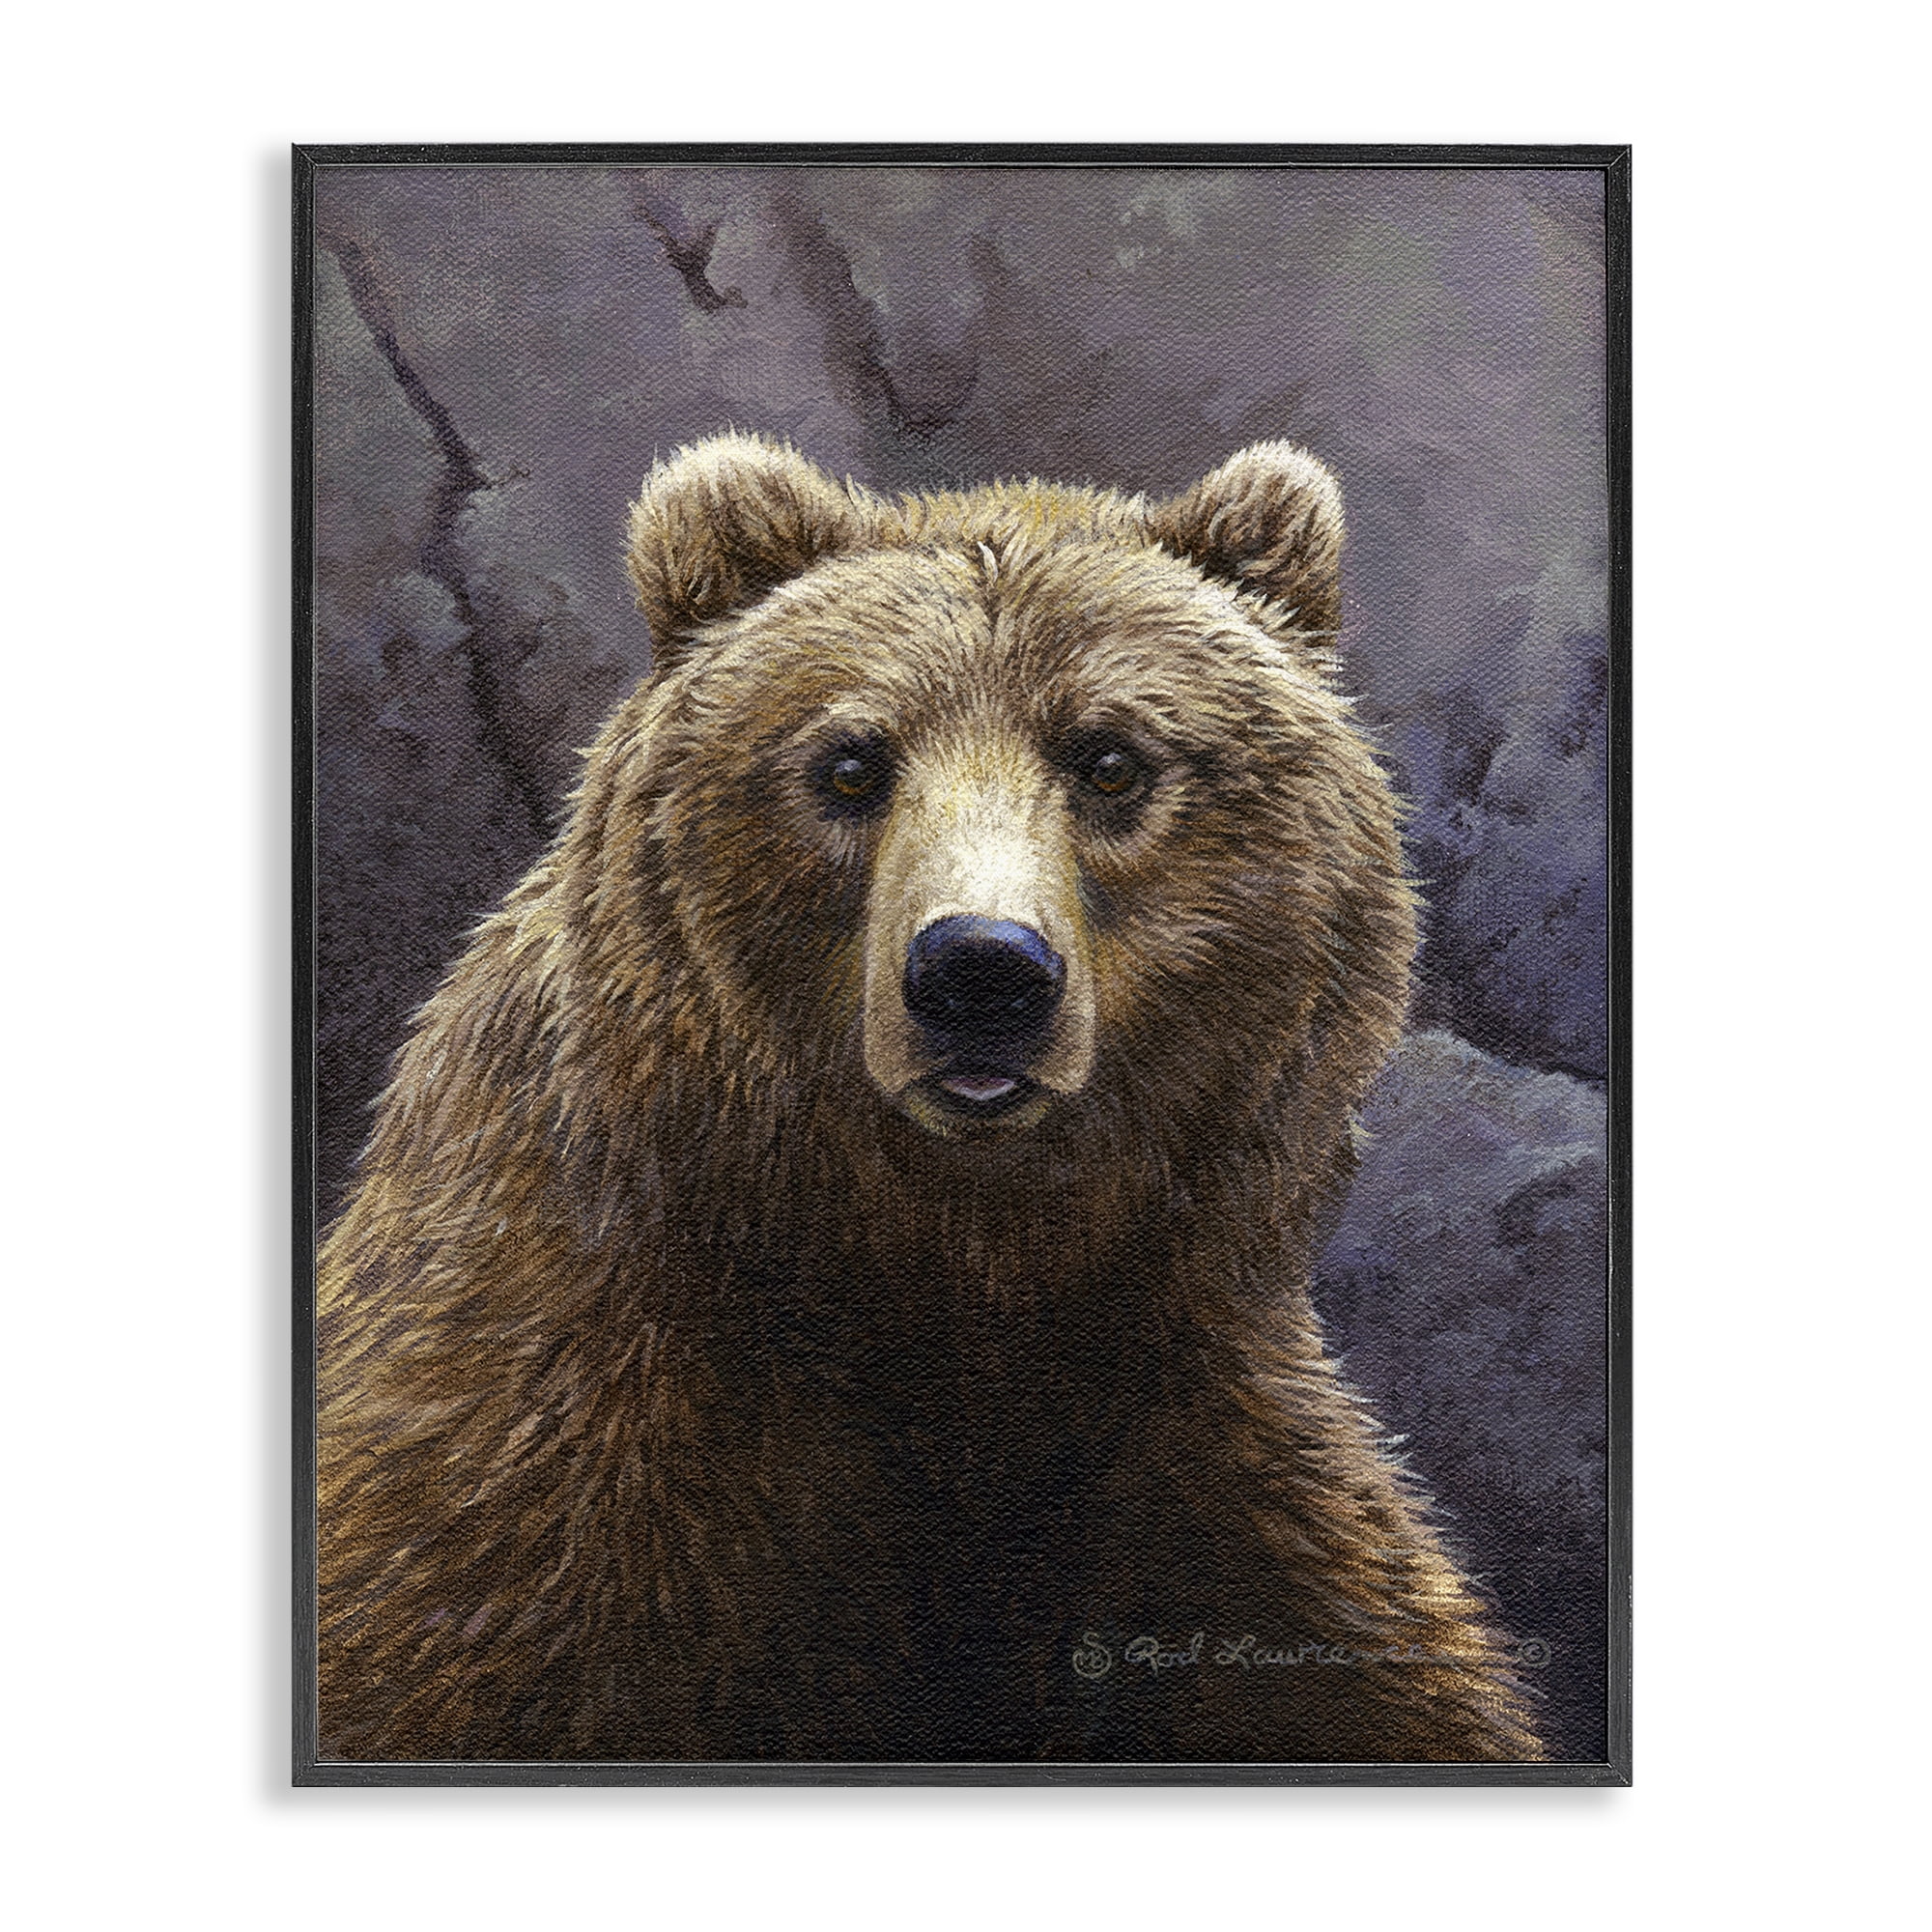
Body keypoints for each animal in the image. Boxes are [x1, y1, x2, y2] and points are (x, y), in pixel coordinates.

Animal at [316, 431, 1542, 1764]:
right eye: (850, 762)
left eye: (1110, 758)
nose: (980, 969)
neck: (948, 1271)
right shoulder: (544, 1459)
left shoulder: (1196, 1443)